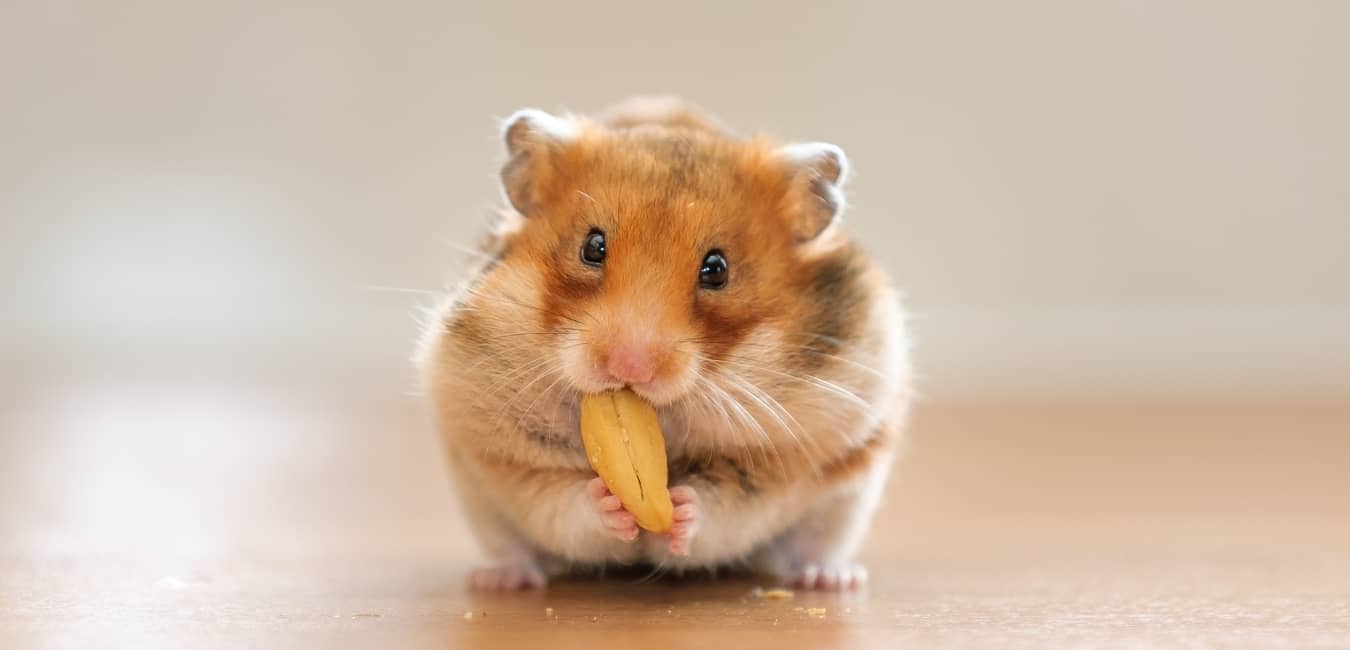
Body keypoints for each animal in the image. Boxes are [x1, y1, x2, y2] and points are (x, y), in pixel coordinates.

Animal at [418, 96, 912, 591]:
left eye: (717, 269)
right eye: (592, 247)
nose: (629, 368)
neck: (666, 420)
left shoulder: (784, 459)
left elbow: (727, 505)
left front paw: (681, 509)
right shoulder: (504, 453)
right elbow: (562, 500)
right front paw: (609, 503)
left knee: (811, 547)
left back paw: (830, 579)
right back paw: (500, 580)